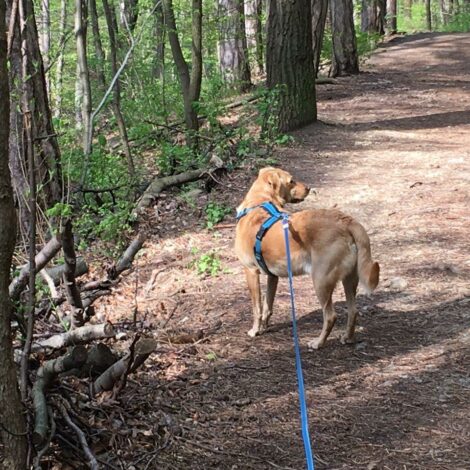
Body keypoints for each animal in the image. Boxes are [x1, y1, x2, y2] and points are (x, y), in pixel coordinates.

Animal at [233, 168, 380, 348]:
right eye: (291, 181)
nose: (309, 188)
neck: (258, 202)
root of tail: (346, 221)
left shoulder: (251, 272)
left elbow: (257, 309)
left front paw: (255, 330)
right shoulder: (272, 277)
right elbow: (268, 306)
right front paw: (264, 328)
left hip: (320, 280)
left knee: (330, 316)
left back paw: (318, 342)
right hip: (350, 279)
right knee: (353, 311)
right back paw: (348, 338)